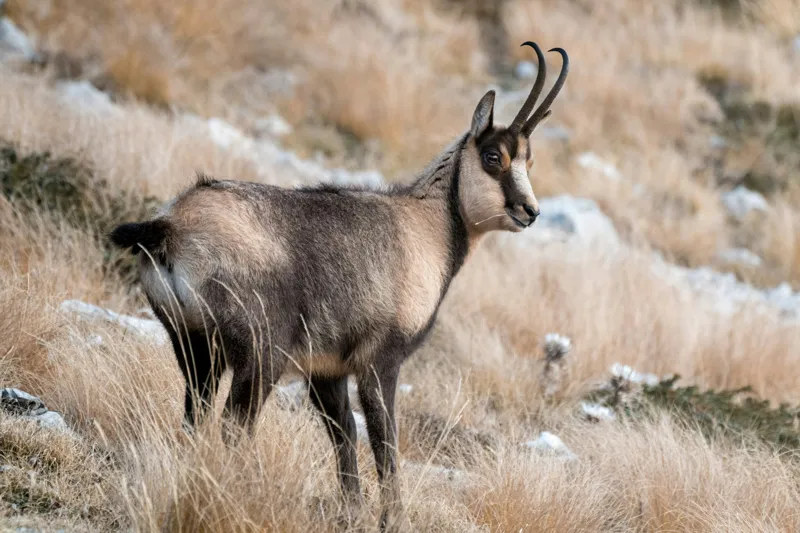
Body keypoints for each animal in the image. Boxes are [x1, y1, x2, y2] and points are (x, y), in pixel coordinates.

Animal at [110, 41, 568, 532]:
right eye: (493, 157)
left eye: (528, 160)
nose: (530, 211)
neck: (426, 228)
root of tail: (171, 225)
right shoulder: (380, 361)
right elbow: (384, 442)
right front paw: (392, 519)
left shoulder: (326, 370)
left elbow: (343, 433)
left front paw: (353, 512)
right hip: (260, 354)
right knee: (235, 426)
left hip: (193, 346)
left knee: (196, 417)